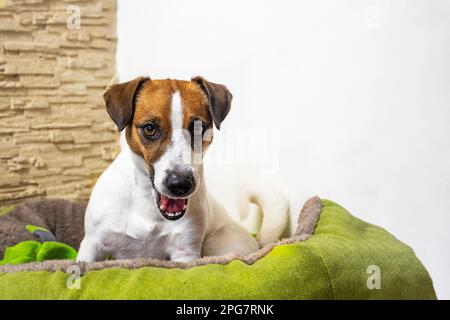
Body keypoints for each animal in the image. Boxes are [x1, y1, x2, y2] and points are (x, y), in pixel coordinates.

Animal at [77, 77, 288, 262]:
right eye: (150, 128)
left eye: (198, 127)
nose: (180, 184)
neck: (146, 201)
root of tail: (257, 242)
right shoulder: (91, 245)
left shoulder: (185, 252)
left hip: (220, 247)